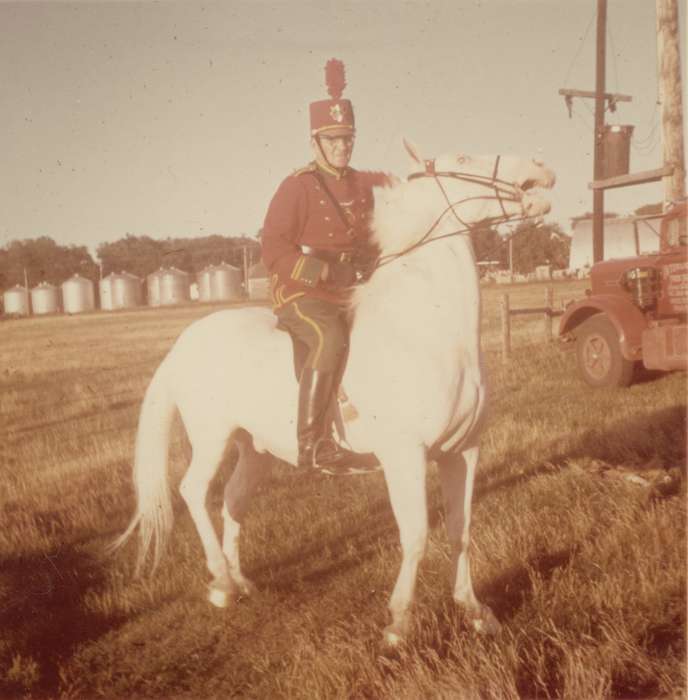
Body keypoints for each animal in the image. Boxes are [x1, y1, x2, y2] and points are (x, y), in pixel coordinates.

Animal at [113, 141, 552, 644]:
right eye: (462, 160)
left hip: (255, 449)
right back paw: (221, 582)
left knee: (232, 500)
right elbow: (417, 535)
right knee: (193, 490)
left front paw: (475, 611)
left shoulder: (463, 451)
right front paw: (399, 623)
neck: (428, 330)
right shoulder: (405, 456)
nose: (540, 170)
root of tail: (185, 342)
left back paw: (240, 582)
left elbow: (460, 529)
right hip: (212, 438)